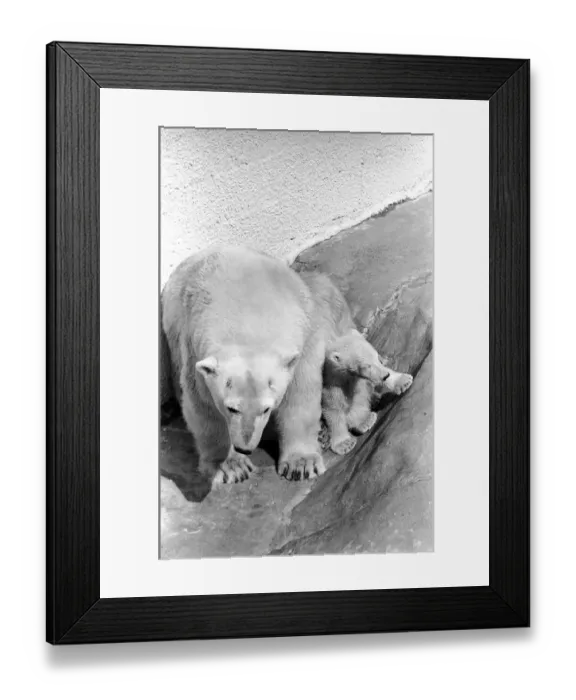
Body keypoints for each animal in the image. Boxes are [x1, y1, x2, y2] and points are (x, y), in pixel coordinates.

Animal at [161, 244, 326, 485]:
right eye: (231, 408)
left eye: (266, 408)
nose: (245, 447)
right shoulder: (193, 348)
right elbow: (203, 405)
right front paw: (231, 466)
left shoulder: (306, 335)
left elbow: (301, 392)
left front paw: (302, 464)